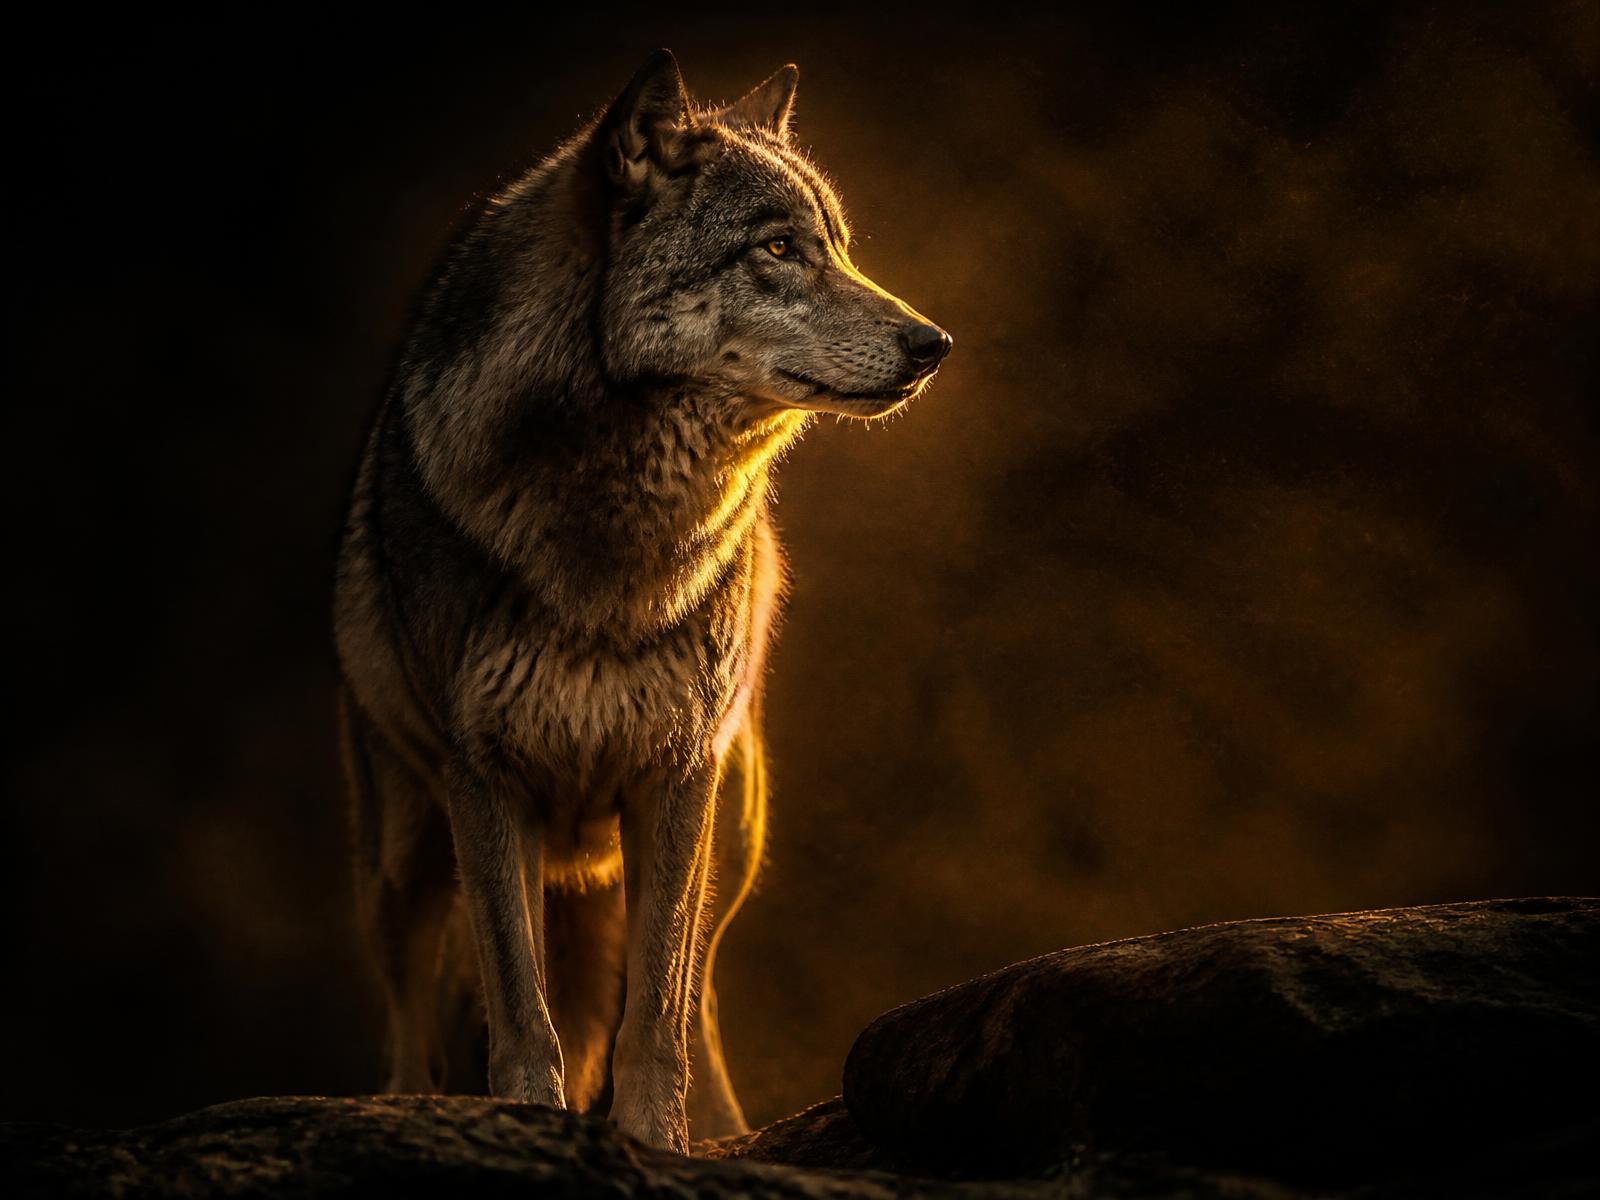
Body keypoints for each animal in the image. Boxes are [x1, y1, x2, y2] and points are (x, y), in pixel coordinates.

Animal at [333, 49, 950, 1153]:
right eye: (778, 247)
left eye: (837, 247)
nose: (934, 344)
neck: (621, 531)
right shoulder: (483, 778)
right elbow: (520, 1005)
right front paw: (527, 1121)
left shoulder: (674, 773)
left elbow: (657, 1005)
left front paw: (657, 1139)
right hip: (402, 856)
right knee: (411, 1008)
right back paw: (400, 1106)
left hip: (730, 828)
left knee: (695, 985)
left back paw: (724, 1125)